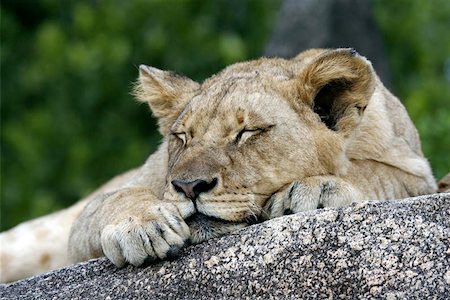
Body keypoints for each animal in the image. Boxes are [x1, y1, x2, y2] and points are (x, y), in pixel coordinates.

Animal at [0, 48, 436, 282]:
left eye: (246, 133)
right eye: (182, 137)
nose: (188, 187)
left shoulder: (418, 172)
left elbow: (377, 173)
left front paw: (315, 188)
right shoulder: (90, 221)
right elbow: (115, 200)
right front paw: (143, 226)